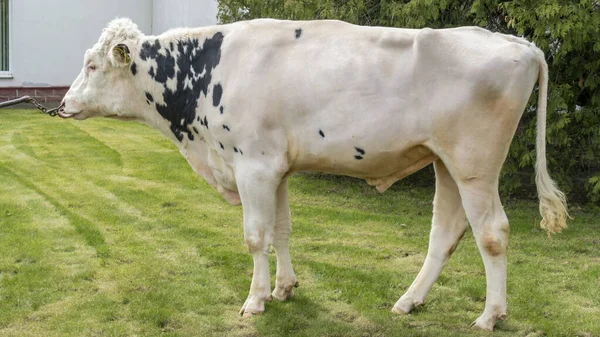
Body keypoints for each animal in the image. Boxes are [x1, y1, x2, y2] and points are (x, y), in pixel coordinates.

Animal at [59, 17, 568, 328]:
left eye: (92, 64)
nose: (62, 105)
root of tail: (518, 42)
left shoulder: (254, 165)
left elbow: (255, 236)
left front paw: (255, 300)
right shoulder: (277, 168)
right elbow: (282, 230)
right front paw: (284, 289)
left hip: (475, 166)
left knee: (493, 233)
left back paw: (490, 315)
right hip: (445, 163)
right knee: (445, 233)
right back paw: (409, 301)